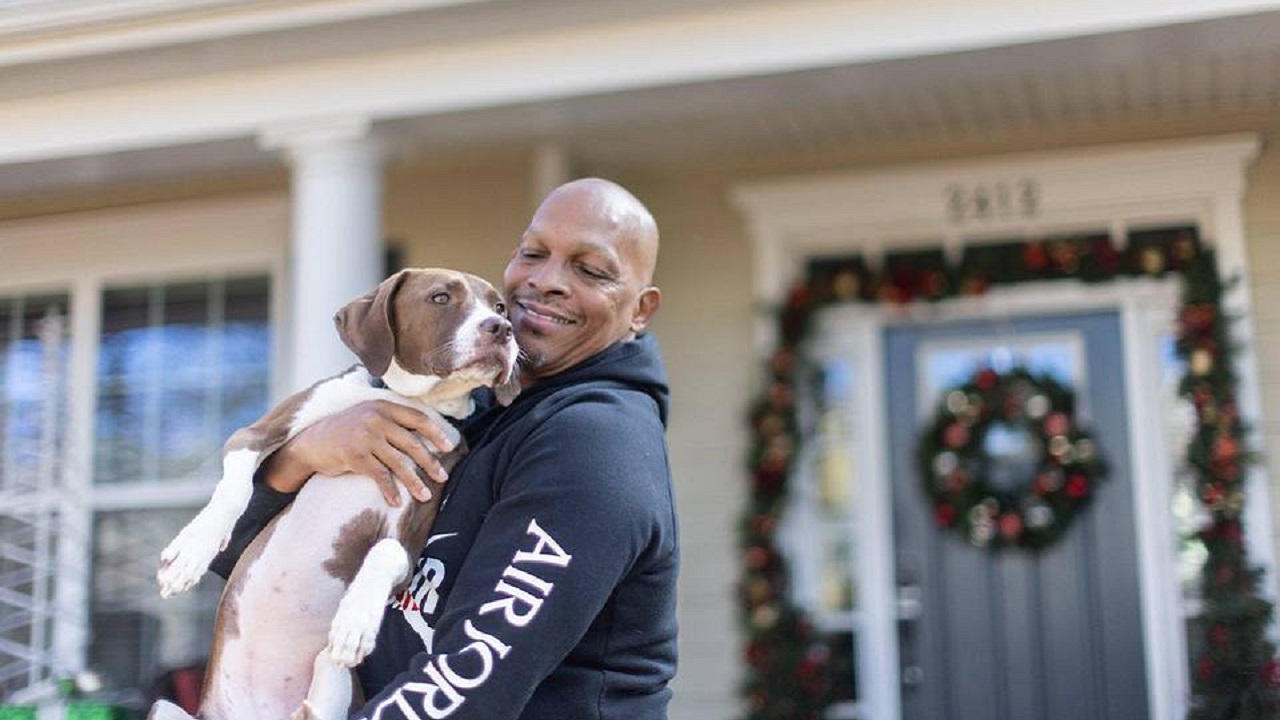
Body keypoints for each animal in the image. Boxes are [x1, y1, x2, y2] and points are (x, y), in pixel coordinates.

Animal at [153, 266, 519, 717]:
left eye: (500, 306)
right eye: (440, 297)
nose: (501, 329)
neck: (405, 399)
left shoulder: (411, 529)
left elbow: (386, 550)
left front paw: (355, 621)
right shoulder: (254, 433)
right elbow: (234, 489)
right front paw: (190, 553)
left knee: (324, 684)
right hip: (165, 707)